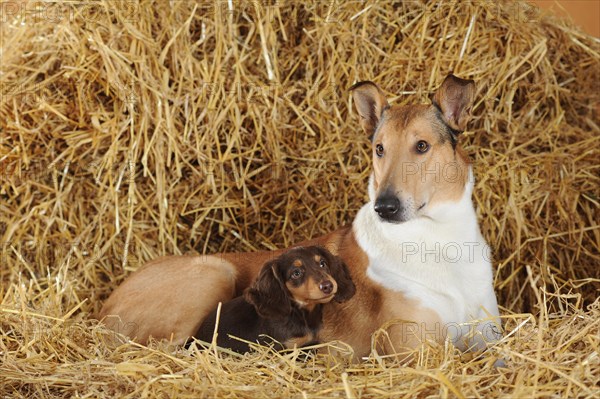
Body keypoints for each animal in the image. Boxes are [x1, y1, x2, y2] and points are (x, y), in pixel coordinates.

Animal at [190, 245, 354, 354]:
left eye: (322, 264)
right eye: (296, 273)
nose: (328, 286)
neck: (300, 314)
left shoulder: (311, 345)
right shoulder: (282, 348)